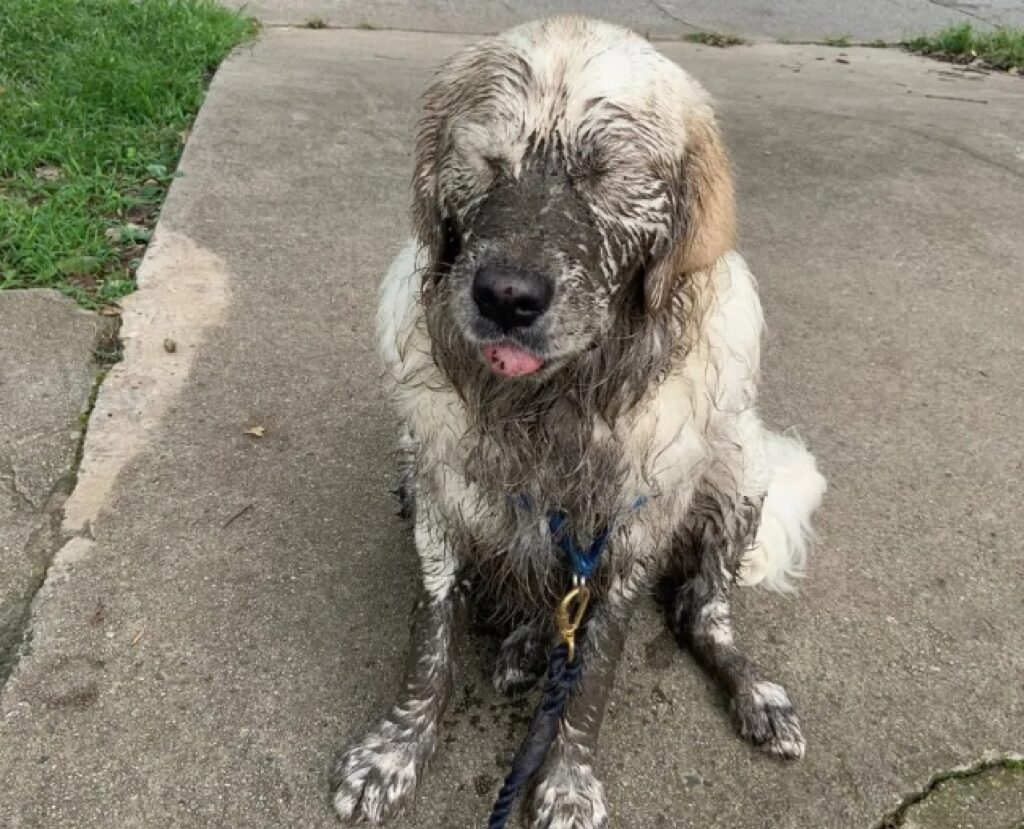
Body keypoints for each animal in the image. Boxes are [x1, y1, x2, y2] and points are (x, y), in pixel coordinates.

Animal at [331, 16, 827, 822]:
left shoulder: (627, 536)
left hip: (740, 474)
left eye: (603, 175)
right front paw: (394, 752)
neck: (551, 406)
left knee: (701, 613)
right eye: (491, 163)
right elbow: (431, 643)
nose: (506, 296)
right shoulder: (439, 494)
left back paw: (754, 691)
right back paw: (524, 644)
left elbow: (593, 669)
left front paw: (567, 779)